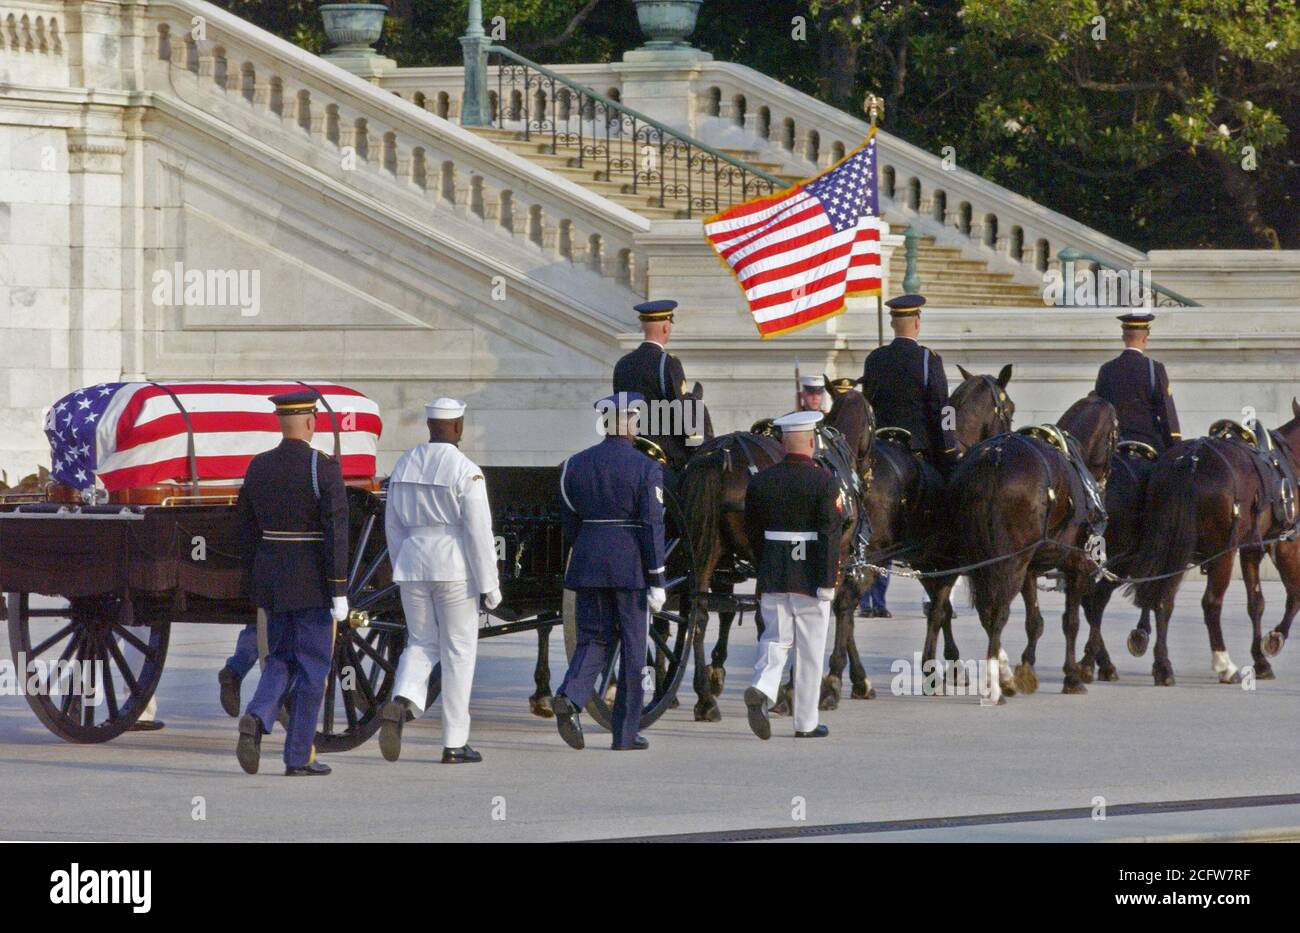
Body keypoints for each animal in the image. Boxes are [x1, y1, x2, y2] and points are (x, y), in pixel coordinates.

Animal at [930, 389, 1123, 706]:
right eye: (1115, 437)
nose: (1105, 481)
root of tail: (993, 458)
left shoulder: (1031, 568)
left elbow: (1035, 621)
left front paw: (1027, 669)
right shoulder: (1075, 564)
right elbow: (1070, 621)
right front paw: (1071, 676)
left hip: (969, 558)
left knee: (949, 608)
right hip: (1009, 562)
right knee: (996, 613)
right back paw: (995, 687)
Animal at [1123, 402, 1294, 686]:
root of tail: (1190, 462)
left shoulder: (1251, 548)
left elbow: (1256, 602)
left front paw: (1262, 657)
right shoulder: (1281, 542)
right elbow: (1290, 594)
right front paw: (1273, 641)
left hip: (1172, 548)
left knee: (1162, 598)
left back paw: (1162, 666)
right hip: (1221, 553)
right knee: (1211, 603)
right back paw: (1224, 664)